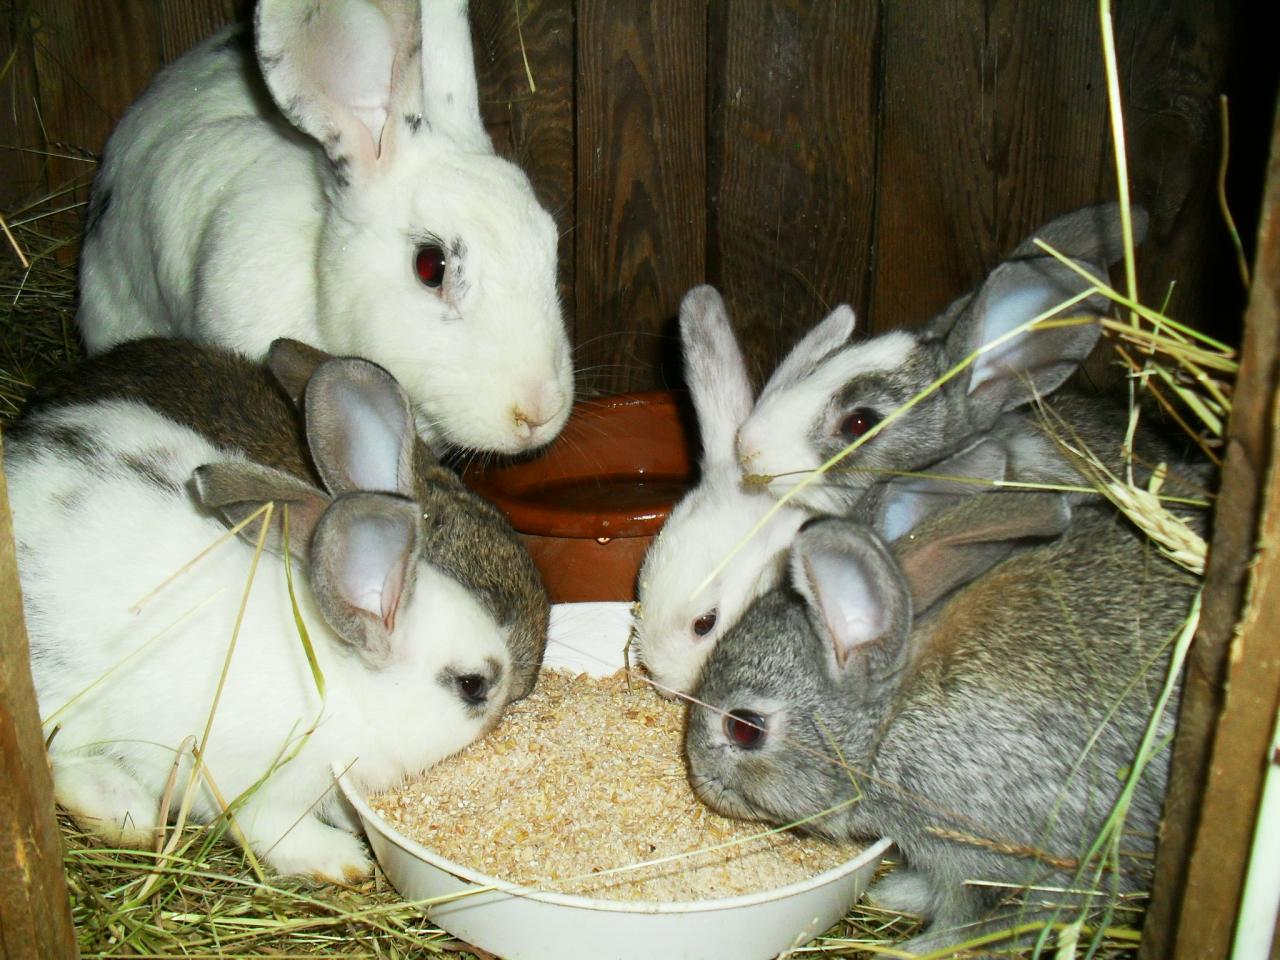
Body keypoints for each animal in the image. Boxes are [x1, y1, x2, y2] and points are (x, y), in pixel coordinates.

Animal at [4, 344, 549, 880]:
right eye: (472, 685)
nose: (513, 701)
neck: (348, 690)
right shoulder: (244, 780)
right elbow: (271, 827)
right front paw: (343, 860)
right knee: (63, 759)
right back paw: (126, 811)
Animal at [685, 484, 1198, 953]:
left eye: (744, 727)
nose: (698, 776)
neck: (889, 725)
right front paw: (895, 893)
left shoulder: (999, 857)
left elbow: (977, 920)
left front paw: (914, 945)